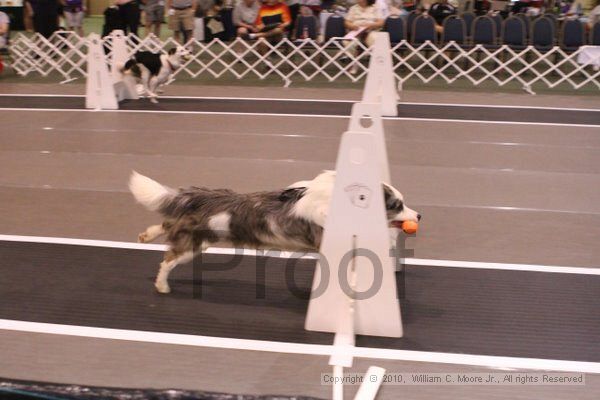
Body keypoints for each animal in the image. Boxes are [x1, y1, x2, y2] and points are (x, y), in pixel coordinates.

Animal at [129, 170, 420, 294]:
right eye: (396, 206)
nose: (419, 216)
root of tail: (201, 196)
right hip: (194, 244)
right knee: (167, 260)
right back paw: (162, 286)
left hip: (197, 236)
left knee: (167, 225)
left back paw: (146, 236)